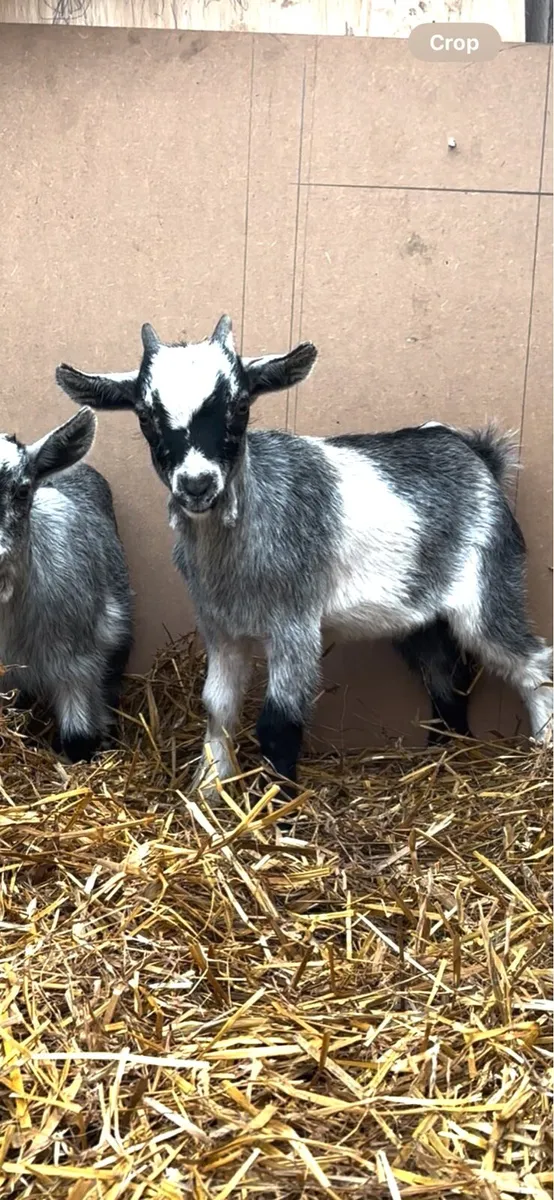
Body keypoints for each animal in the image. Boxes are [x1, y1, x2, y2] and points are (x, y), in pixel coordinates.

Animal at [56, 316, 553, 785]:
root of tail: (479, 455)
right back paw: (444, 753)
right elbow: (217, 709)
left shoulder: (294, 621)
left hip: (487, 587)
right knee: (448, 675)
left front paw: (274, 803)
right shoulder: (221, 626)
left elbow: (279, 723)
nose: (197, 484)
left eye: (240, 405)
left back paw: (540, 751)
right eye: (145, 414)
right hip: (421, 617)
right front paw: (209, 791)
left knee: (532, 660)